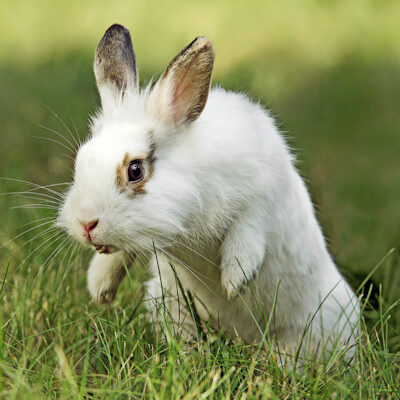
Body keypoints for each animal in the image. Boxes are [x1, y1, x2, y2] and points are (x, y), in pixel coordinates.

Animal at [58, 24, 360, 362]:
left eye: (135, 170)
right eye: (81, 159)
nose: (85, 224)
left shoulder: (264, 188)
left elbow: (249, 227)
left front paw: (235, 279)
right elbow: (119, 254)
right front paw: (99, 287)